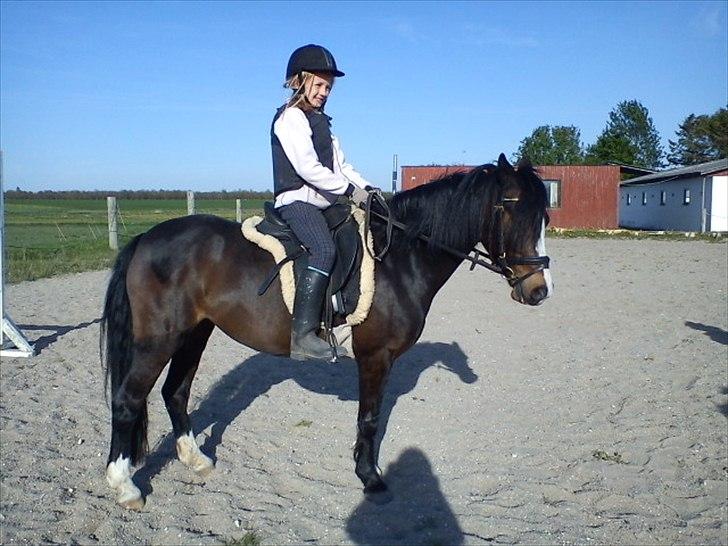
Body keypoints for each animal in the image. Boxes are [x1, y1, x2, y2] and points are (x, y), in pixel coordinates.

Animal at [100, 154, 552, 510]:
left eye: (544, 217)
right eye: (512, 212)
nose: (539, 290)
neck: (400, 258)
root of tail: (147, 238)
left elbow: (370, 417)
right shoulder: (376, 356)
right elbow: (369, 418)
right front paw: (370, 477)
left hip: (195, 333)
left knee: (175, 392)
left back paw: (196, 460)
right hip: (160, 340)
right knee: (127, 400)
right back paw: (125, 486)